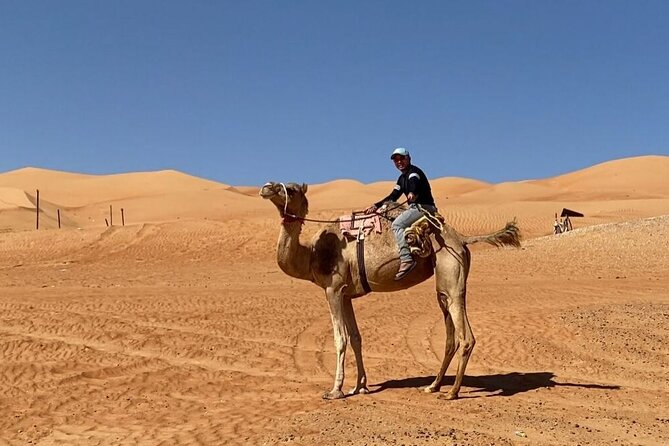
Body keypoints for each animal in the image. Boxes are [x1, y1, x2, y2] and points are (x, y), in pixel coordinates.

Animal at [260, 181, 521, 400]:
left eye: (290, 189)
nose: (266, 187)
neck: (312, 254)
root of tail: (462, 238)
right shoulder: (346, 294)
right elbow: (356, 338)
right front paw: (360, 387)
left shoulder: (332, 289)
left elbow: (340, 338)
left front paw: (335, 391)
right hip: (446, 285)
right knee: (450, 334)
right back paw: (433, 386)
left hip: (451, 273)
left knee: (466, 337)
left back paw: (451, 392)